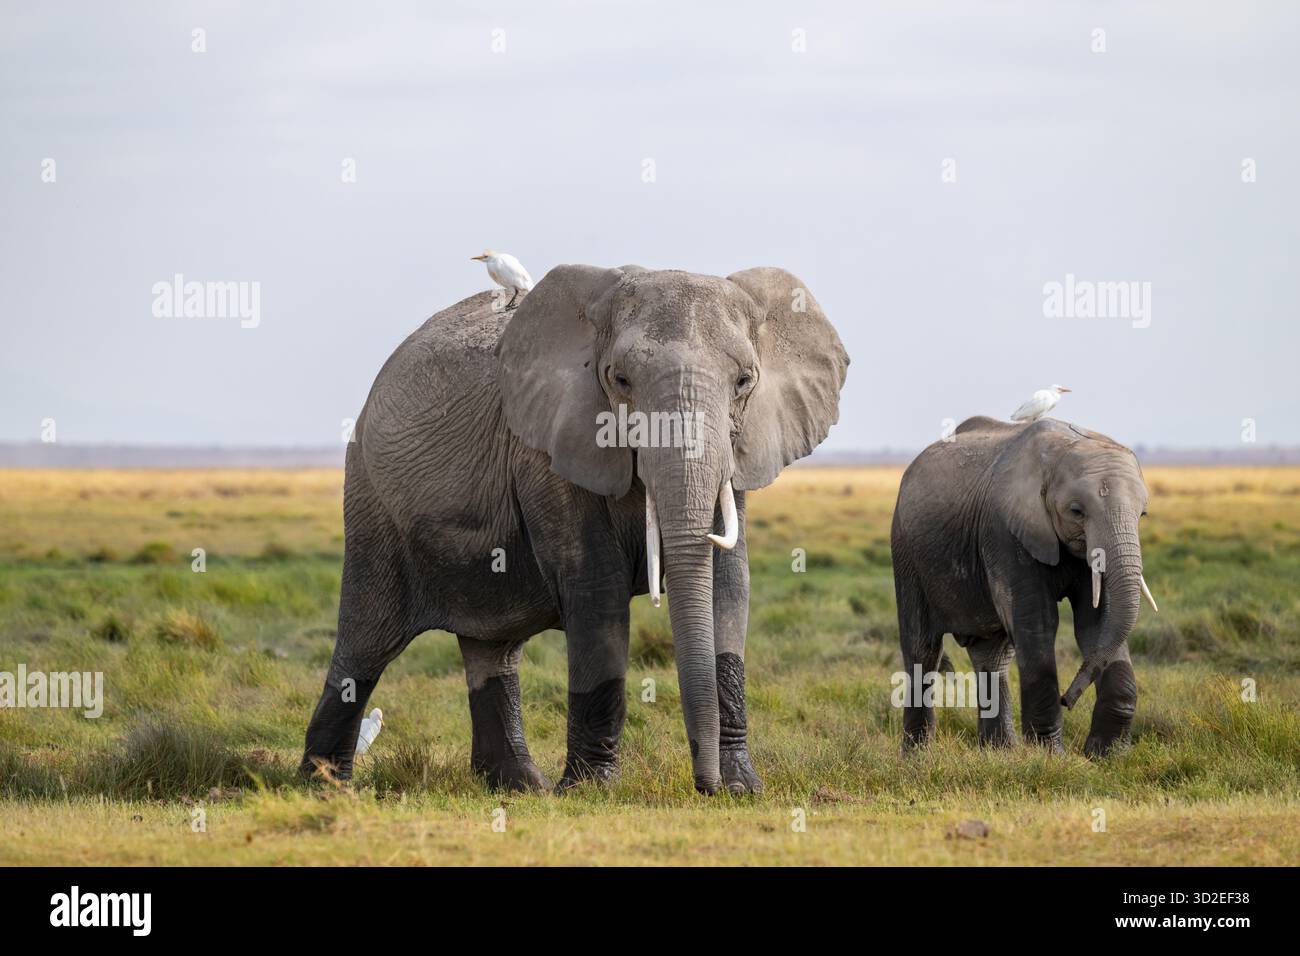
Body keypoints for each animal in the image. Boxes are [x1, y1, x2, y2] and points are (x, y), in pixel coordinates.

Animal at [300, 264, 849, 794]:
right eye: (620, 379)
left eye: (744, 381)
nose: (704, 786)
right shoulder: (551, 448)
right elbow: (597, 590)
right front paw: (590, 791)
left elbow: (728, 587)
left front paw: (742, 787)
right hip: (372, 503)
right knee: (365, 644)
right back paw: (324, 786)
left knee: (492, 649)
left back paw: (519, 787)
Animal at [889, 416, 1158, 756]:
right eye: (1076, 511)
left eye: (1143, 513)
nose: (1068, 699)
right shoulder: (1004, 531)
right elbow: (1037, 623)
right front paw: (1051, 756)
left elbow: (1096, 625)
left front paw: (1106, 756)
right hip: (905, 550)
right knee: (922, 650)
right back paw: (917, 756)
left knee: (992, 656)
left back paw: (998, 752)